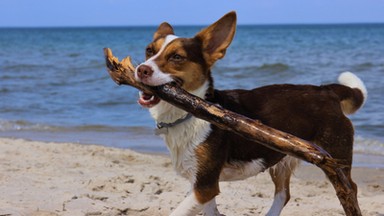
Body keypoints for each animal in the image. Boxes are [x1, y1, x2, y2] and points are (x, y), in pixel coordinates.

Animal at [134, 11, 368, 216]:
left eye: (177, 57)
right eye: (149, 51)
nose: (141, 69)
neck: (188, 114)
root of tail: (327, 90)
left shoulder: (205, 186)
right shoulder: (201, 185)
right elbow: (211, 211)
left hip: (336, 158)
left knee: (350, 189)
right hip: (282, 161)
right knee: (283, 194)